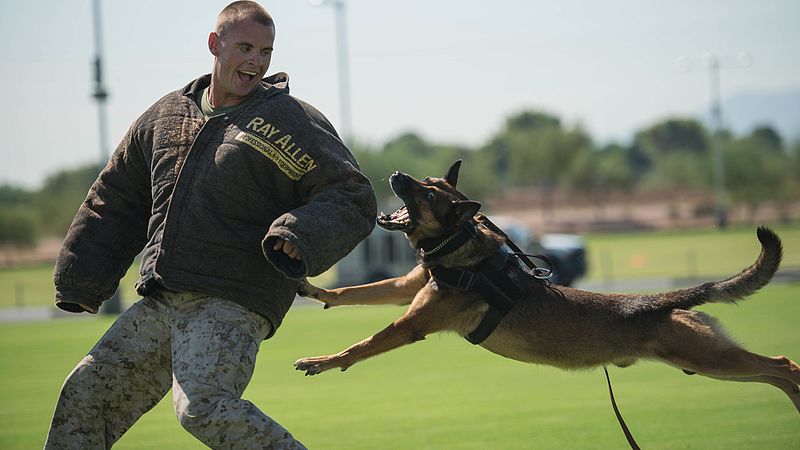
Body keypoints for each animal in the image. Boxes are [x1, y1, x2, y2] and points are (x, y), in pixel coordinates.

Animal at [296, 160, 800, 414]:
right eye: (427, 180)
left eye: (428, 193)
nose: (397, 175)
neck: (463, 248)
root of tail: (665, 299)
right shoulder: (408, 285)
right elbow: (357, 293)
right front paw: (314, 289)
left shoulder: (411, 323)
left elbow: (362, 344)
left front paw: (322, 361)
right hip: (704, 361)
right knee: (773, 372)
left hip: (706, 358)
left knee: (783, 364)